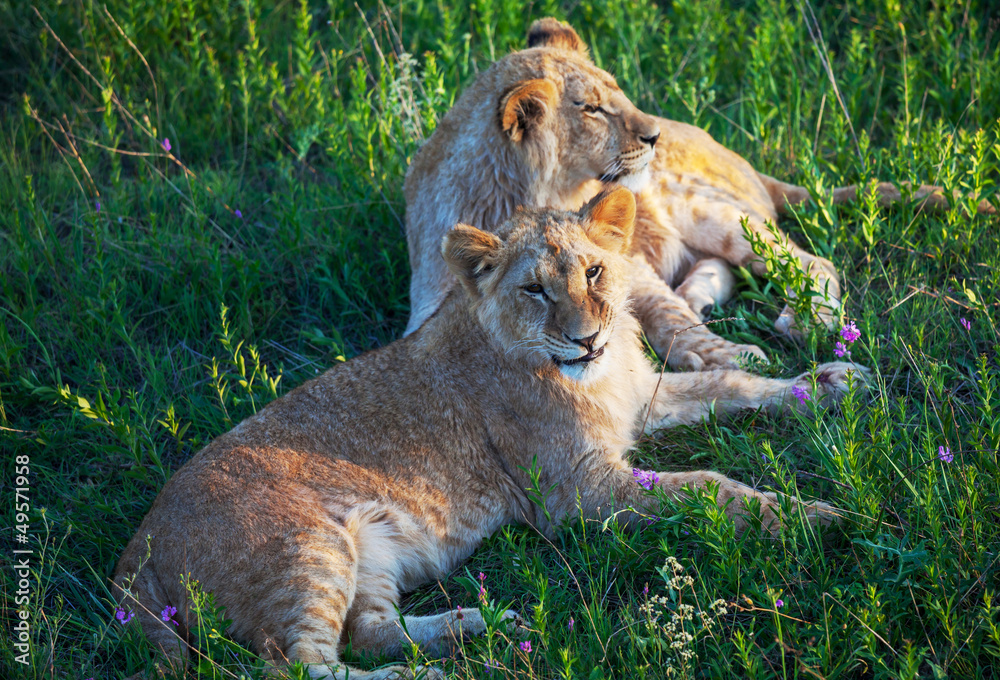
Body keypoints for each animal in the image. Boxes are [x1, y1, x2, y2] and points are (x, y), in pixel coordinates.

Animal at [115, 187, 861, 679]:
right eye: (534, 290)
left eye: (594, 271)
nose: (584, 339)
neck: (597, 371)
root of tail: (137, 544)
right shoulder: (579, 493)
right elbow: (710, 486)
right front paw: (814, 517)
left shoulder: (641, 403)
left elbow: (730, 385)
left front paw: (831, 383)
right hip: (304, 549)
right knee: (293, 665)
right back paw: (426, 671)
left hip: (369, 551)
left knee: (368, 631)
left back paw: (481, 624)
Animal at [404, 17, 993, 370]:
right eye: (591, 109)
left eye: (616, 90)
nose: (653, 136)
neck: (520, 195)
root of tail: (749, 165)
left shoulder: (628, 263)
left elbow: (670, 322)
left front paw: (727, 358)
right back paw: (700, 295)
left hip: (707, 208)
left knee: (813, 262)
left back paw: (803, 321)